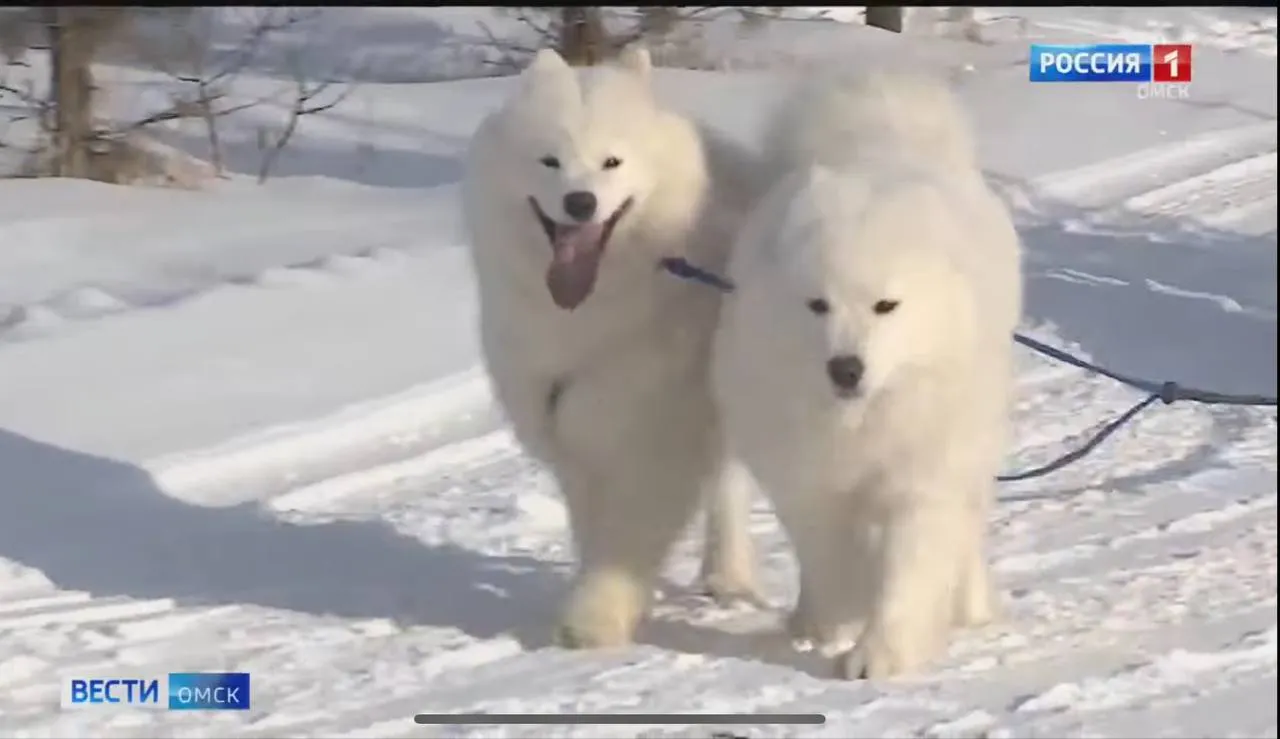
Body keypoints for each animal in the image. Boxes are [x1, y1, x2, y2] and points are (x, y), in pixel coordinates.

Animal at [460, 44, 768, 645]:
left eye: (611, 163)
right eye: (550, 162)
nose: (580, 202)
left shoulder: (658, 432)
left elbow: (626, 537)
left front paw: (594, 620)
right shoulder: (568, 432)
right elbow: (593, 530)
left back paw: (729, 579)